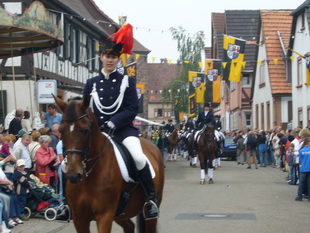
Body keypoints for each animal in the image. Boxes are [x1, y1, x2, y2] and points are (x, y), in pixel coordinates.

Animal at [54, 95, 165, 232]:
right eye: (61, 130)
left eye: (85, 130)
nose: (73, 175)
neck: (88, 177)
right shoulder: (79, 219)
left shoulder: (104, 216)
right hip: (121, 214)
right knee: (129, 226)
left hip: (151, 211)